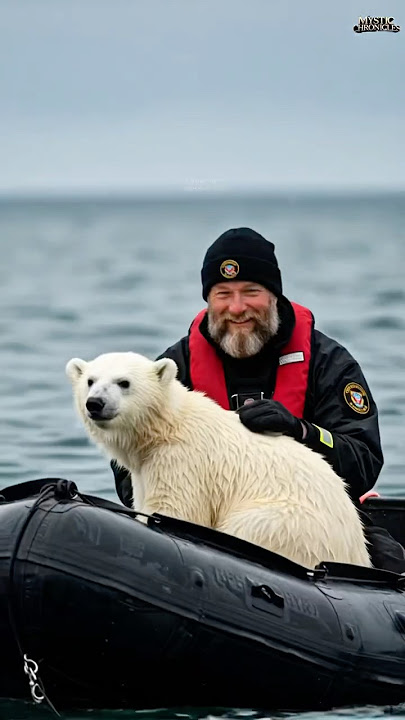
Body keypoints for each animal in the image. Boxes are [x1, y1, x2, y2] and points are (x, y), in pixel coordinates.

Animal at [65, 351, 371, 569]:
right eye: (90, 381)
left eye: (124, 382)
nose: (95, 403)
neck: (167, 425)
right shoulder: (145, 469)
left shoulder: (182, 461)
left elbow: (173, 511)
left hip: (289, 526)